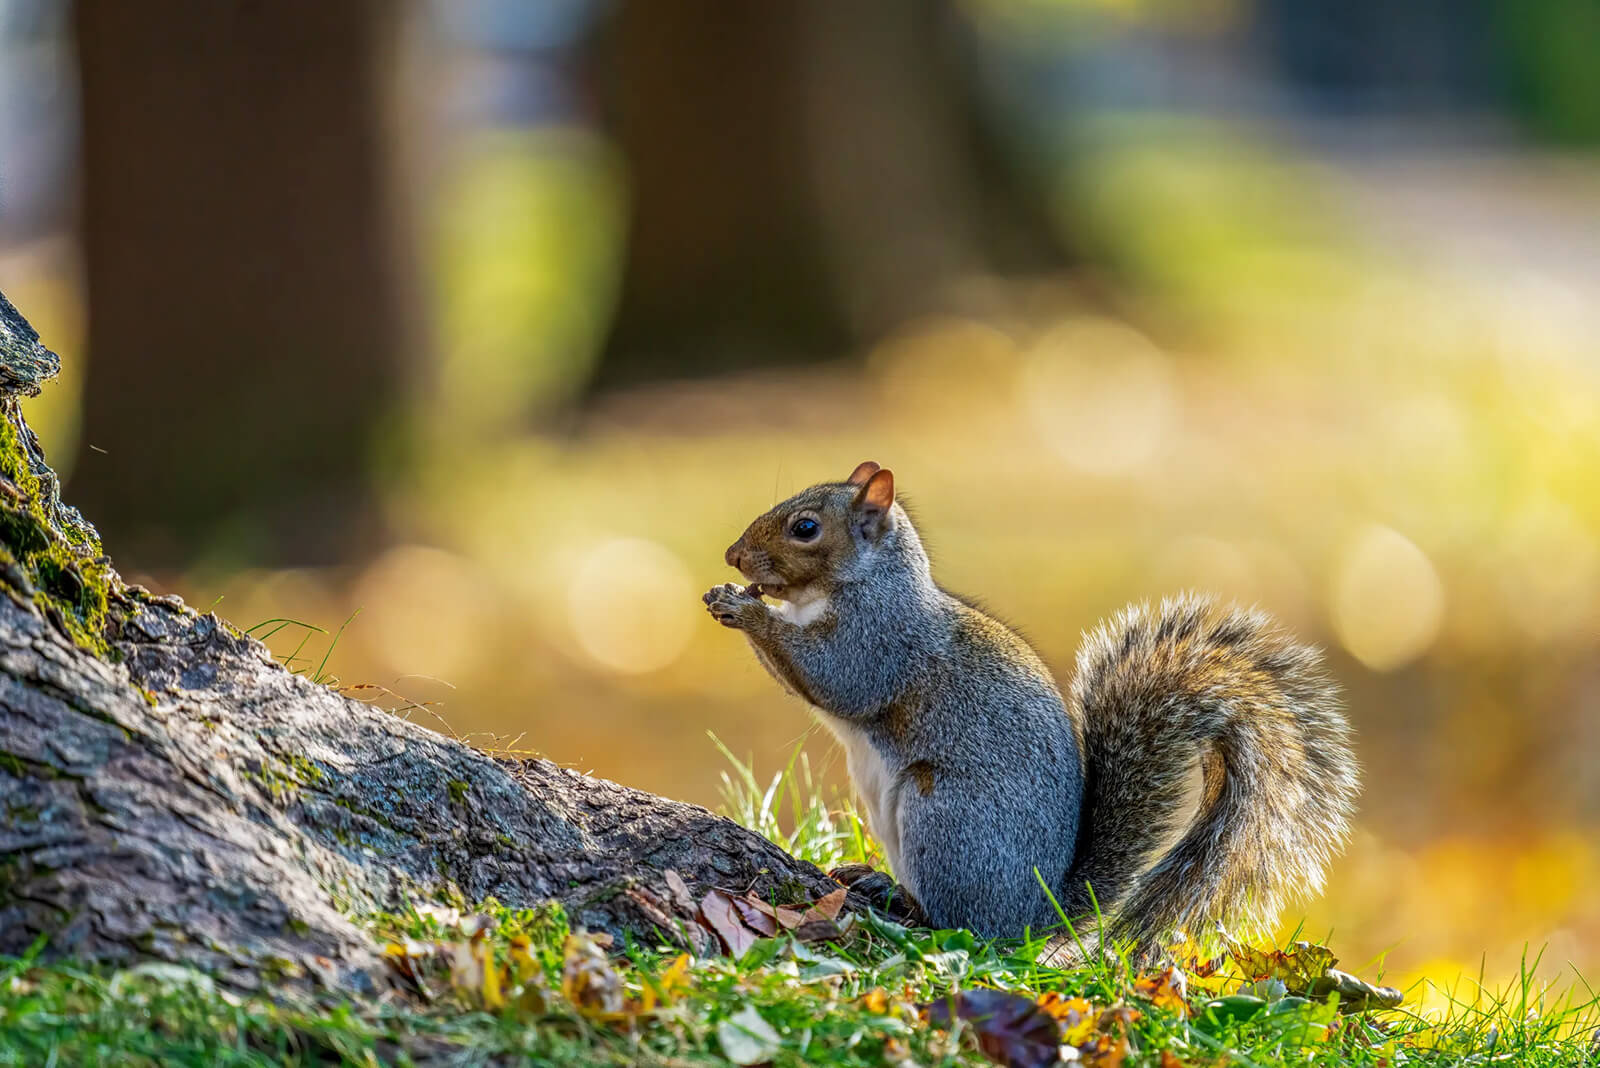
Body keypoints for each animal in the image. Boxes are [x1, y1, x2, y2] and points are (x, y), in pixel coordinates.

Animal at [703, 461, 1358, 959]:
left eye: (805, 527)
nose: (734, 556)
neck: (861, 584)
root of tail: (1034, 914)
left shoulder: (880, 639)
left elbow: (834, 679)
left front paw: (748, 610)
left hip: (945, 819)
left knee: (962, 925)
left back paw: (902, 901)